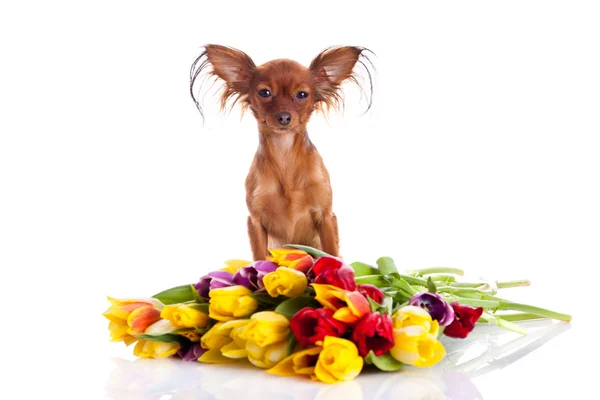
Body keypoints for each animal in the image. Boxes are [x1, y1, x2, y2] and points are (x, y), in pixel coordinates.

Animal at [190, 45, 372, 260]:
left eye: (302, 95)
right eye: (265, 92)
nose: (284, 117)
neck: (284, 154)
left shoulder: (326, 216)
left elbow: (331, 252)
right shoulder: (255, 221)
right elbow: (260, 258)